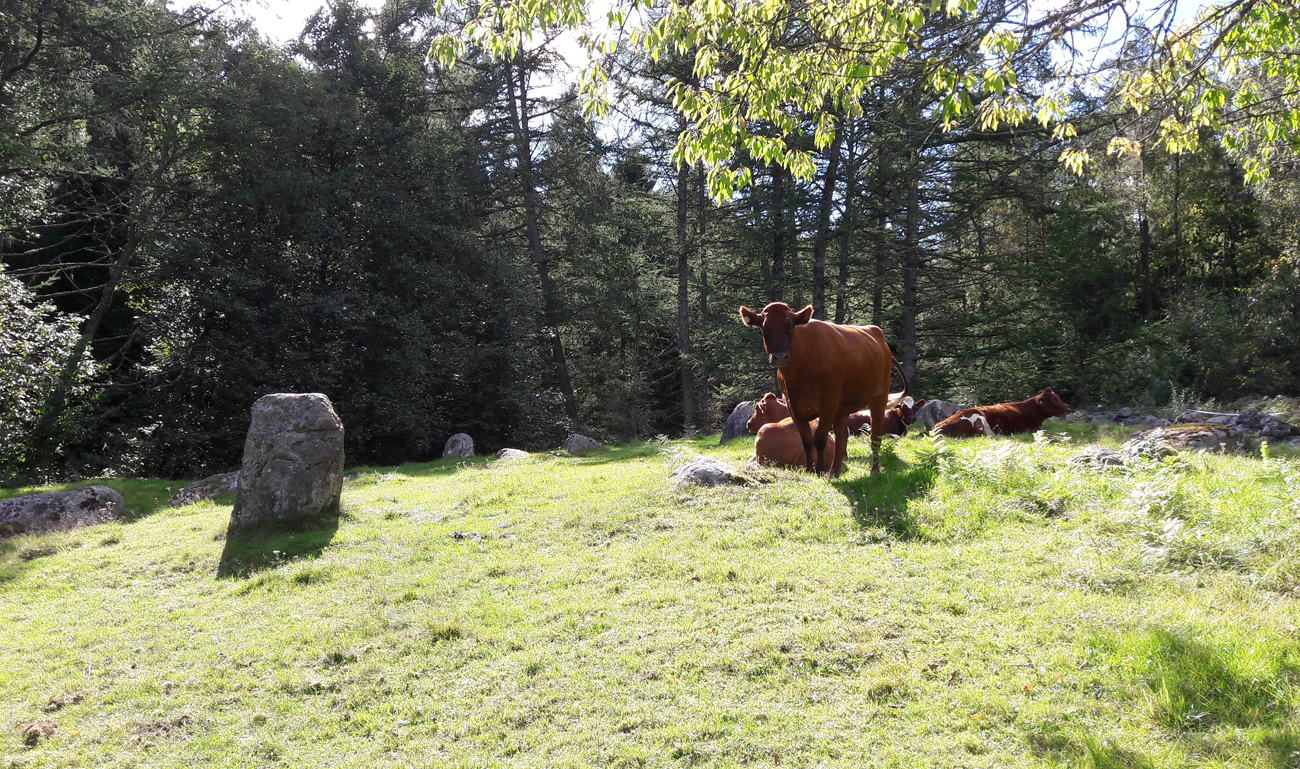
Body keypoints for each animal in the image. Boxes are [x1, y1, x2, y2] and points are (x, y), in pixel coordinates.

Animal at [743, 301, 904, 475]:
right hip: (843, 408)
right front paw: (810, 468)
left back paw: (874, 470)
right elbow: (807, 441)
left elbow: (820, 439)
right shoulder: (793, 406)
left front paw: (819, 469)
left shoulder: (829, 402)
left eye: (790, 327)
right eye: (765, 329)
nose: (780, 357)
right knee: (842, 437)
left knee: (875, 436)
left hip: (880, 398)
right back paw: (834, 471)